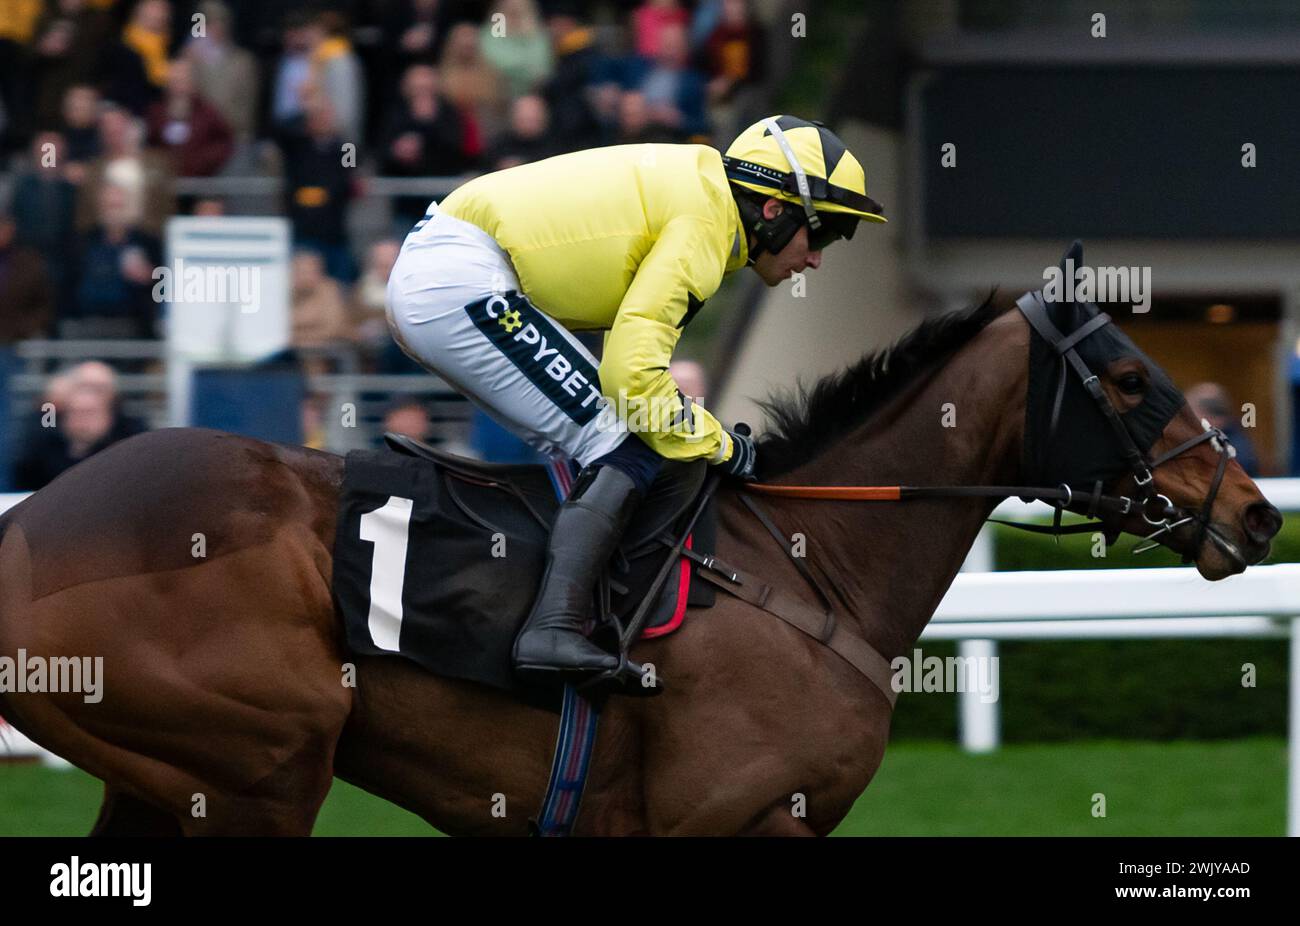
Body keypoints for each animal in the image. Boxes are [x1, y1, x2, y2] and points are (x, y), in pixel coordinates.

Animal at [0, 292, 1279, 837]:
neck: (806, 568)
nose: (1258, 513)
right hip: (265, 763)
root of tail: (27, 526)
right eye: (1130, 379)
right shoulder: (733, 819)